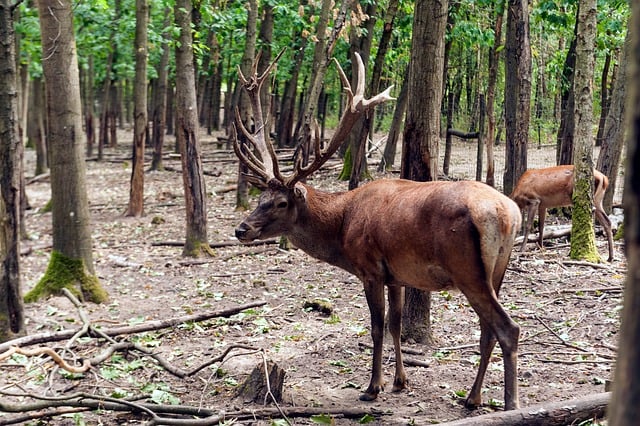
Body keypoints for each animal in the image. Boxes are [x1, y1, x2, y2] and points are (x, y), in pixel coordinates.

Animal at [233, 52, 522, 411]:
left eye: (281, 202)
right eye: (260, 198)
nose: (241, 229)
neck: (342, 227)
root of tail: (510, 213)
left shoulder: (369, 267)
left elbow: (376, 327)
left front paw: (372, 387)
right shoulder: (396, 275)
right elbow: (396, 325)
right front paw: (399, 381)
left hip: (468, 270)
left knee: (507, 328)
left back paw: (510, 403)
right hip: (497, 271)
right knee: (487, 330)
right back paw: (472, 397)